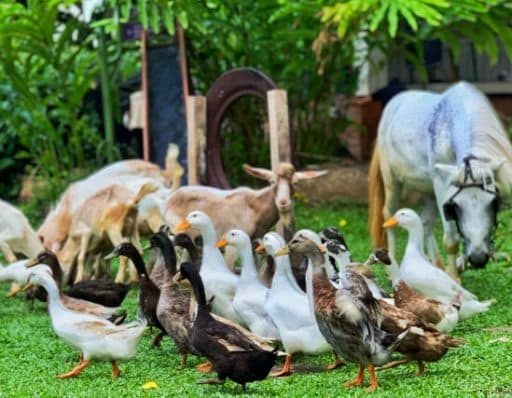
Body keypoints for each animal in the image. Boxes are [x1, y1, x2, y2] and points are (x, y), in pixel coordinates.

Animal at [370, 81, 512, 276]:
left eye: (493, 203)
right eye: (455, 206)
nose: (477, 258)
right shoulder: (441, 185)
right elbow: (451, 240)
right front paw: (454, 278)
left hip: (429, 191)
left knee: (426, 223)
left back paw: (435, 266)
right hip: (393, 182)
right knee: (388, 216)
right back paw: (392, 267)